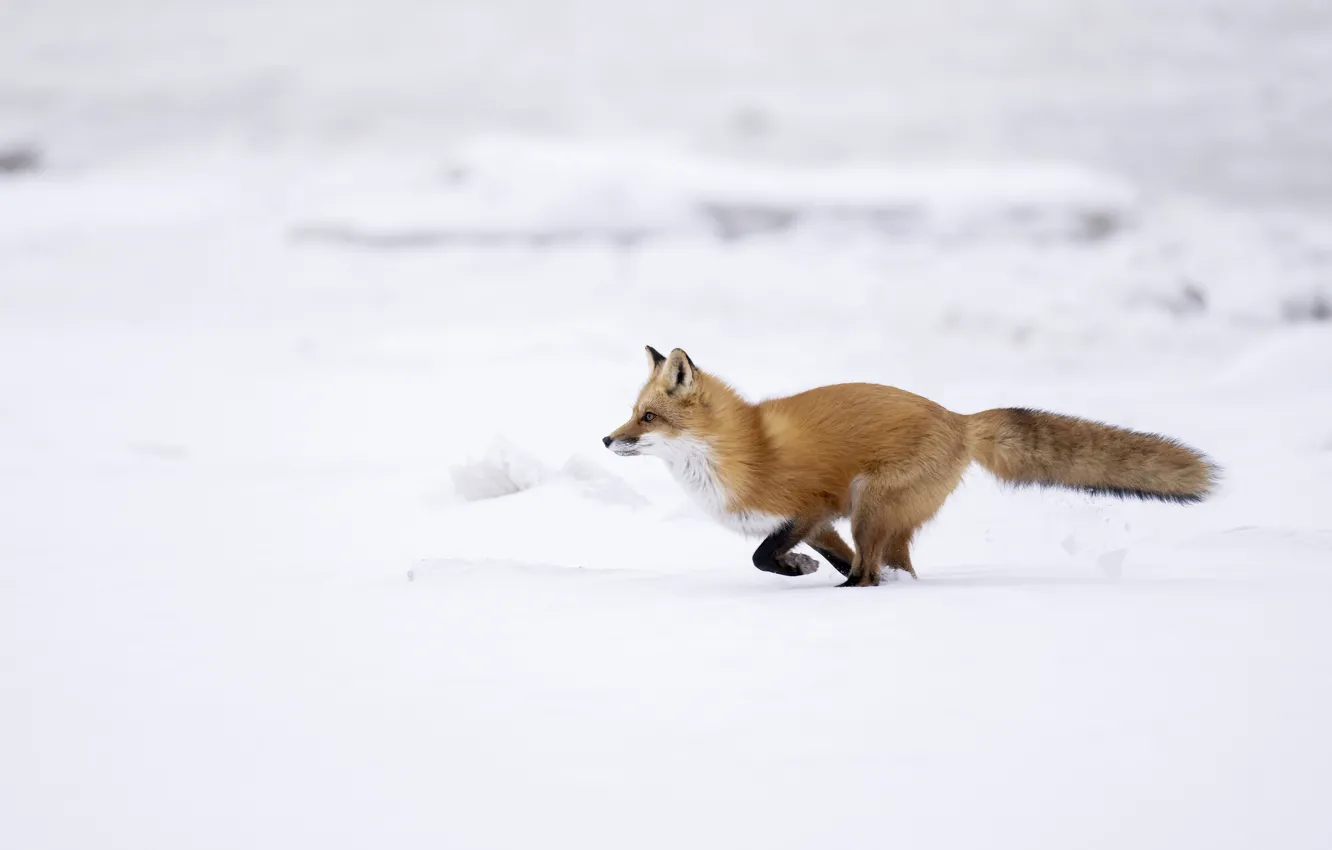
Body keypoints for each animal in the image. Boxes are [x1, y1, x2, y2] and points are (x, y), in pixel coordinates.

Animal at [603, 346, 1218, 587]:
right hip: (873, 514)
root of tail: (960, 419)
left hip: (870, 503)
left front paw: (798, 570)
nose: (607, 439)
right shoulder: (821, 524)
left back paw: (853, 592)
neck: (738, 449)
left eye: (648, 417)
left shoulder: (814, 506)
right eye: (632, 412)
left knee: (869, 573)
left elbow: (762, 556)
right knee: (887, 566)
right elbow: (814, 556)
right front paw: (804, 567)